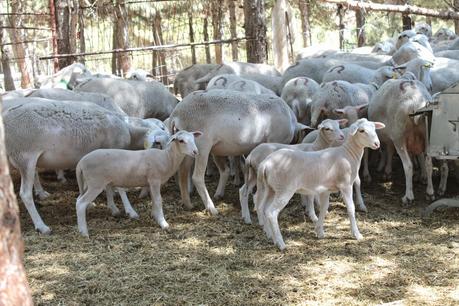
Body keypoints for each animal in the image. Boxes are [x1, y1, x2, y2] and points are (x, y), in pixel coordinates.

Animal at [255, 118, 384, 250]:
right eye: (361, 131)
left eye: (374, 128)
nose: (377, 144)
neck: (348, 153)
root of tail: (265, 163)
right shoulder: (345, 185)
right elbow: (351, 208)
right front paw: (357, 234)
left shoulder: (326, 189)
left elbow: (324, 207)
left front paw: (319, 231)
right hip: (284, 189)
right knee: (272, 212)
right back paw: (281, 243)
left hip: (270, 188)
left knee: (264, 208)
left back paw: (271, 237)